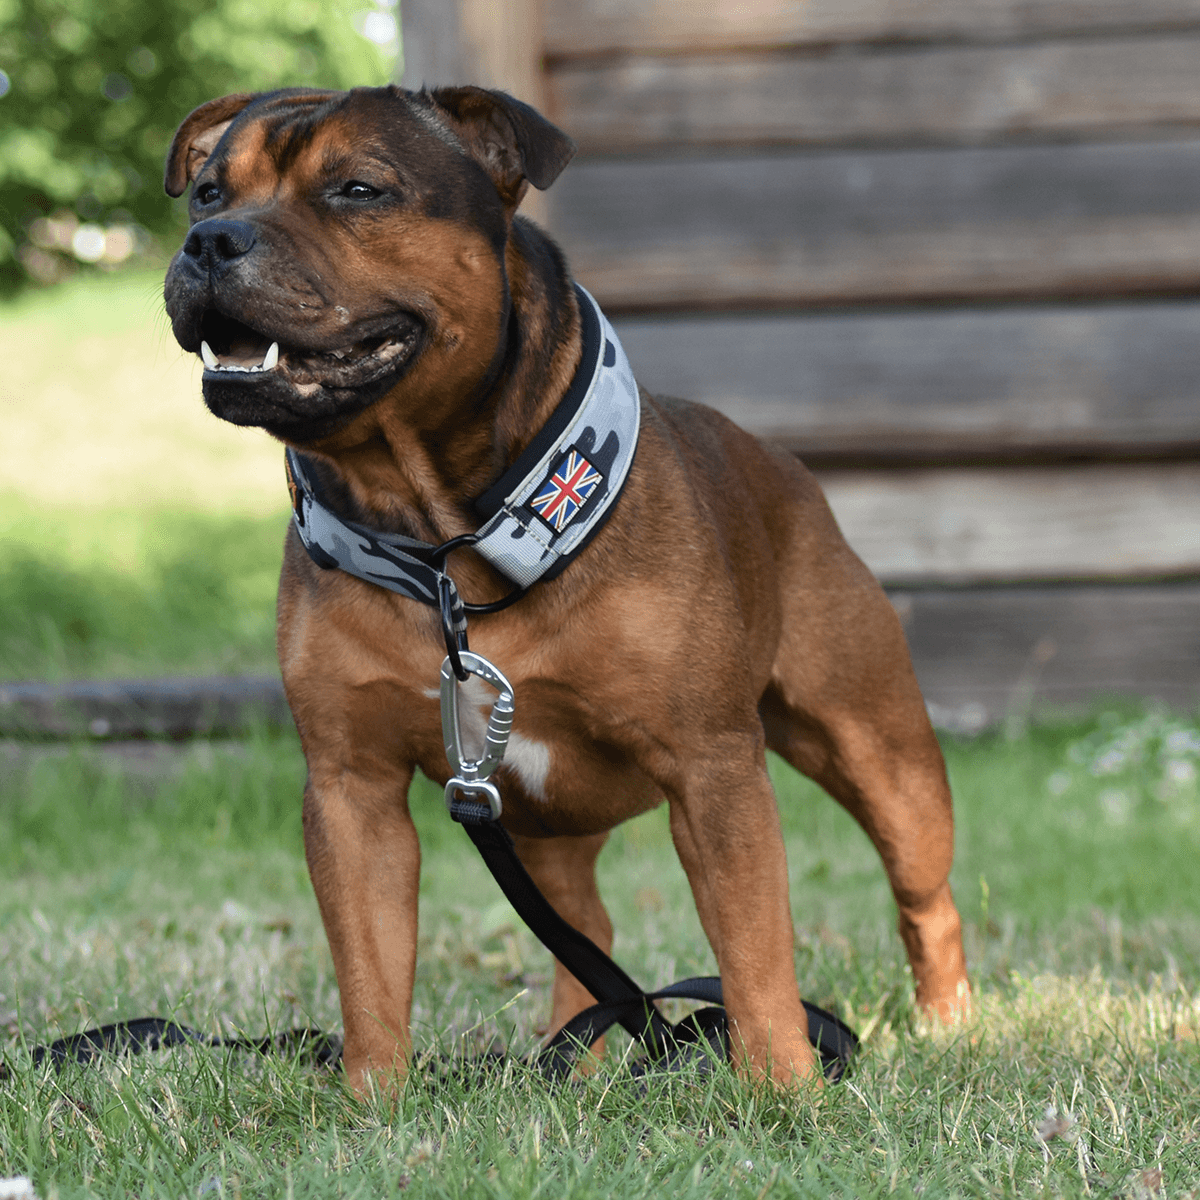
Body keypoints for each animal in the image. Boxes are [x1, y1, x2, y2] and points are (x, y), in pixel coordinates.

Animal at [164, 87, 969, 1099]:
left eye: (359, 189)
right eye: (206, 191)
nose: (210, 240)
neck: (447, 545)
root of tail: (786, 469)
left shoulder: (713, 772)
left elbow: (754, 953)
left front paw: (783, 1092)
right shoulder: (354, 793)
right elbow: (371, 971)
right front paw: (371, 1103)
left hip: (881, 755)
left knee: (924, 895)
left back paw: (950, 1024)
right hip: (540, 822)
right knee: (586, 936)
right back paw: (571, 1062)